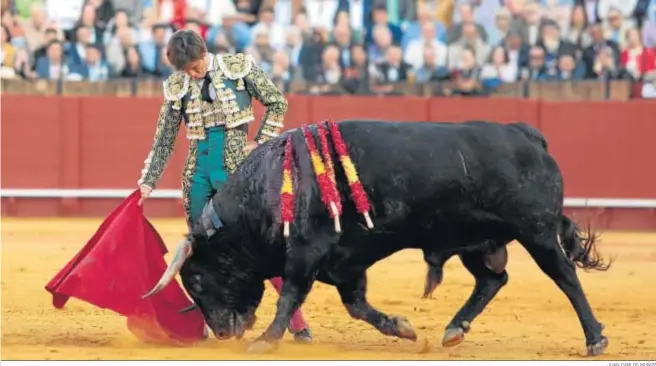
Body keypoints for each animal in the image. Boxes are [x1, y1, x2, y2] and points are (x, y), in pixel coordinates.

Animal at [142, 121, 608, 356]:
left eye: (197, 279)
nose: (222, 333)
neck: (269, 188)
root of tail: (527, 133)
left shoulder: (307, 252)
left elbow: (289, 294)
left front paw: (266, 340)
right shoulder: (345, 263)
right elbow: (358, 306)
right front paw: (401, 328)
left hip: (536, 231)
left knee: (564, 276)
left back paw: (595, 338)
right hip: (479, 241)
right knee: (493, 279)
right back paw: (454, 328)